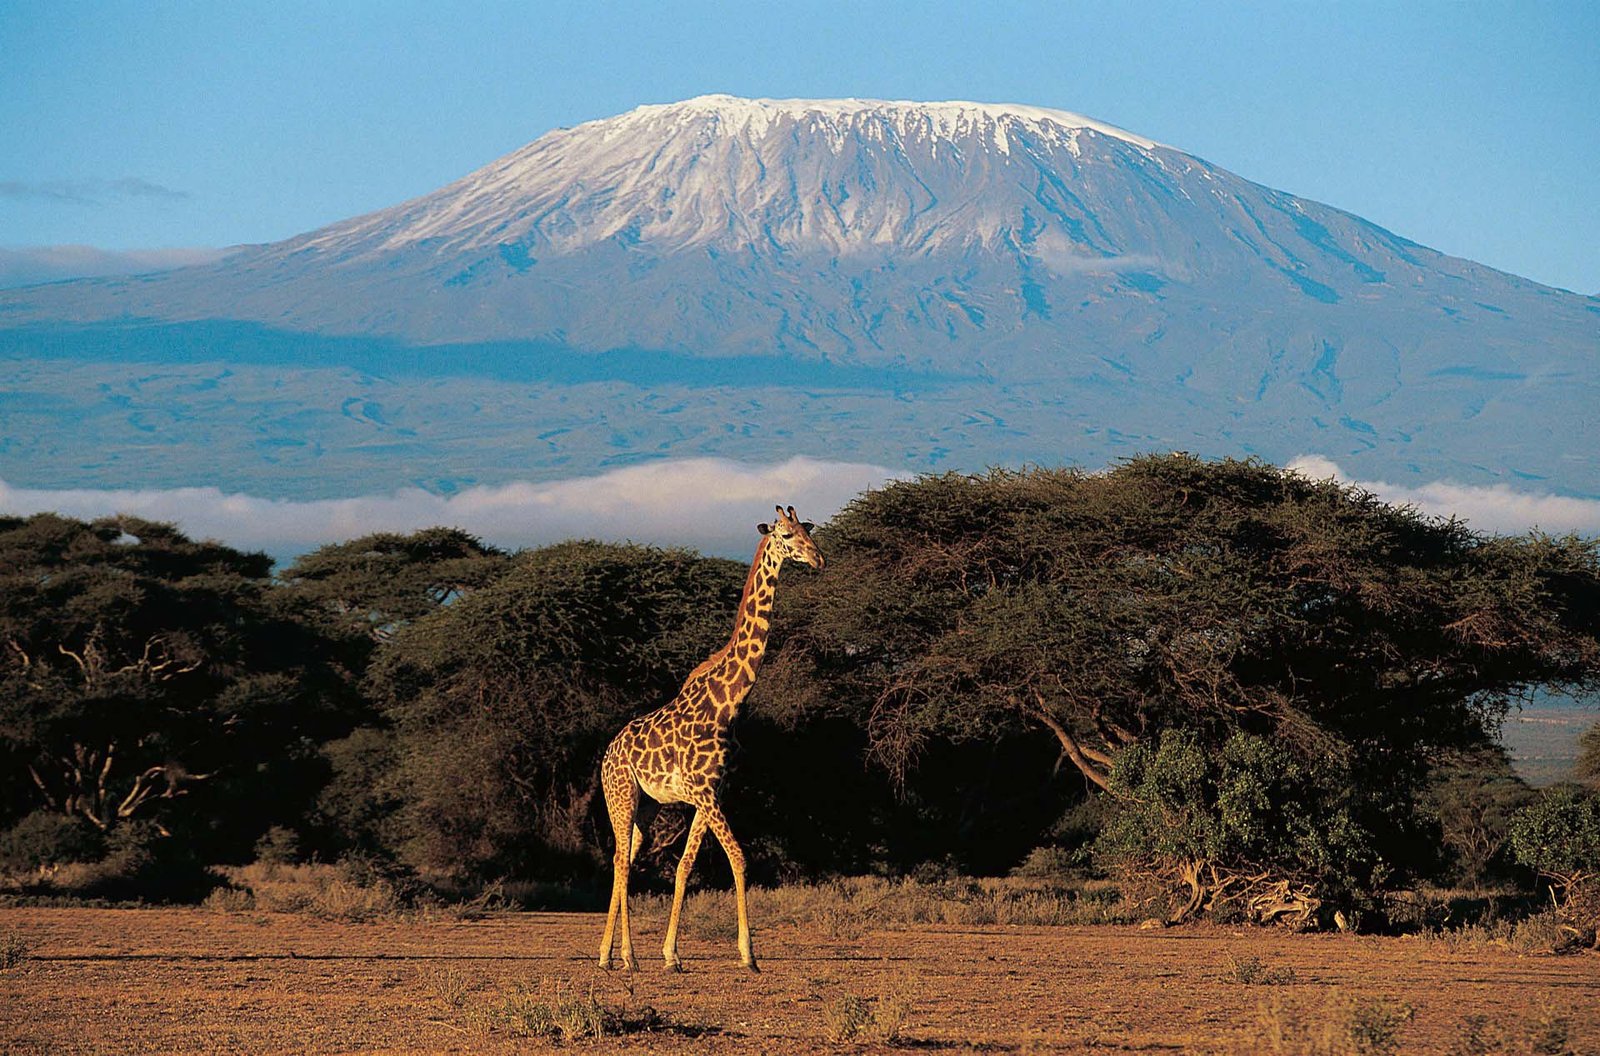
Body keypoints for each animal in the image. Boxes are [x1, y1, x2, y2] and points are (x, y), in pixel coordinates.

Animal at [601, 505, 825, 972]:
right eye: (785, 534)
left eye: (808, 530)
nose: (817, 559)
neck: (729, 702)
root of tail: (606, 755)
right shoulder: (705, 793)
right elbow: (739, 857)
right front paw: (748, 955)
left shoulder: (713, 792)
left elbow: (685, 866)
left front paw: (671, 954)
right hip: (621, 795)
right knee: (620, 861)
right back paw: (627, 956)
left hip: (647, 806)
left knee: (624, 859)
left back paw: (605, 955)